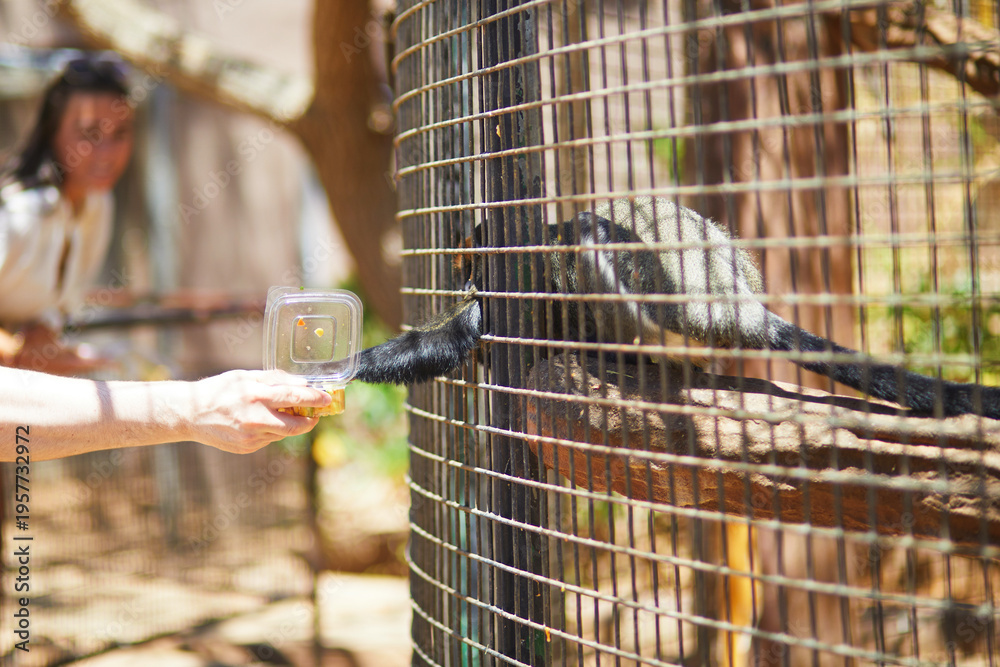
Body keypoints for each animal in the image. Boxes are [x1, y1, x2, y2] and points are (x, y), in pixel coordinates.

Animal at [354, 196, 1000, 420]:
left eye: (473, 266)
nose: (466, 276)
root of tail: (740, 306)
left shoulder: (507, 294)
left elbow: (455, 338)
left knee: (593, 234)